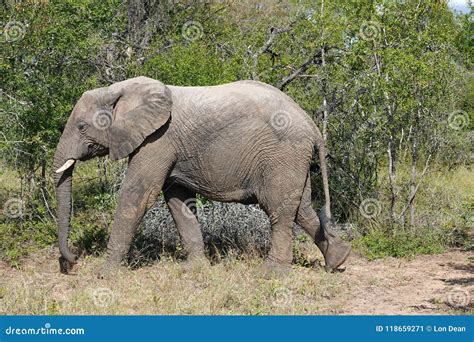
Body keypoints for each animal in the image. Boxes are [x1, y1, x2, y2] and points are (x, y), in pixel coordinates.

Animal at [53, 76, 350, 276]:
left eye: (82, 127)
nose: (74, 261)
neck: (120, 90)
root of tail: (312, 125)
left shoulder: (157, 140)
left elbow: (138, 196)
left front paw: (105, 275)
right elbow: (178, 200)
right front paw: (194, 269)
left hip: (282, 155)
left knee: (279, 210)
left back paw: (271, 274)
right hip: (292, 159)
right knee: (302, 207)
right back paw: (337, 260)